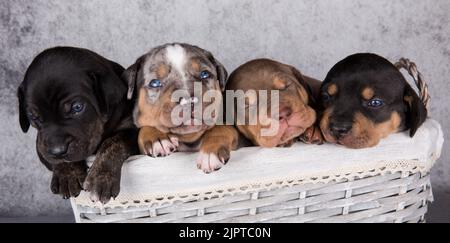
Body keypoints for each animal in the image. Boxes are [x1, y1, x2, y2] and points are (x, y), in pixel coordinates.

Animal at [17, 46, 138, 202]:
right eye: (33, 116)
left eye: (77, 107)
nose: (58, 151)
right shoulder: (41, 144)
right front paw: (69, 175)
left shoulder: (135, 130)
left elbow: (113, 142)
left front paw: (101, 178)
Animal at [120, 43, 239, 173]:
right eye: (154, 83)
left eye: (204, 74)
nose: (189, 100)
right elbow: (148, 125)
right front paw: (157, 139)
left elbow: (221, 128)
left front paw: (210, 152)